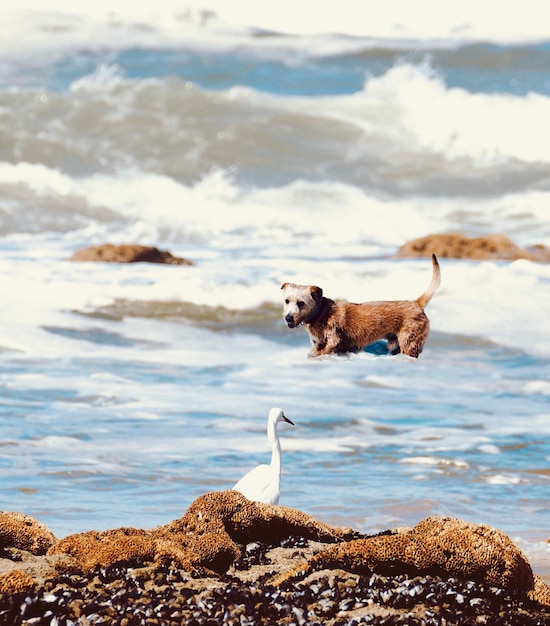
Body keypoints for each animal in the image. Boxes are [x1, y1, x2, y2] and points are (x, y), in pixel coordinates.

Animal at [282, 254, 442, 358]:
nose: (288, 318)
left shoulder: (334, 340)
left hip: (409, 341)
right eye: (287, 301)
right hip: (396, 343)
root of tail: (416, 303)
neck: (320, 312)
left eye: (301, 303)